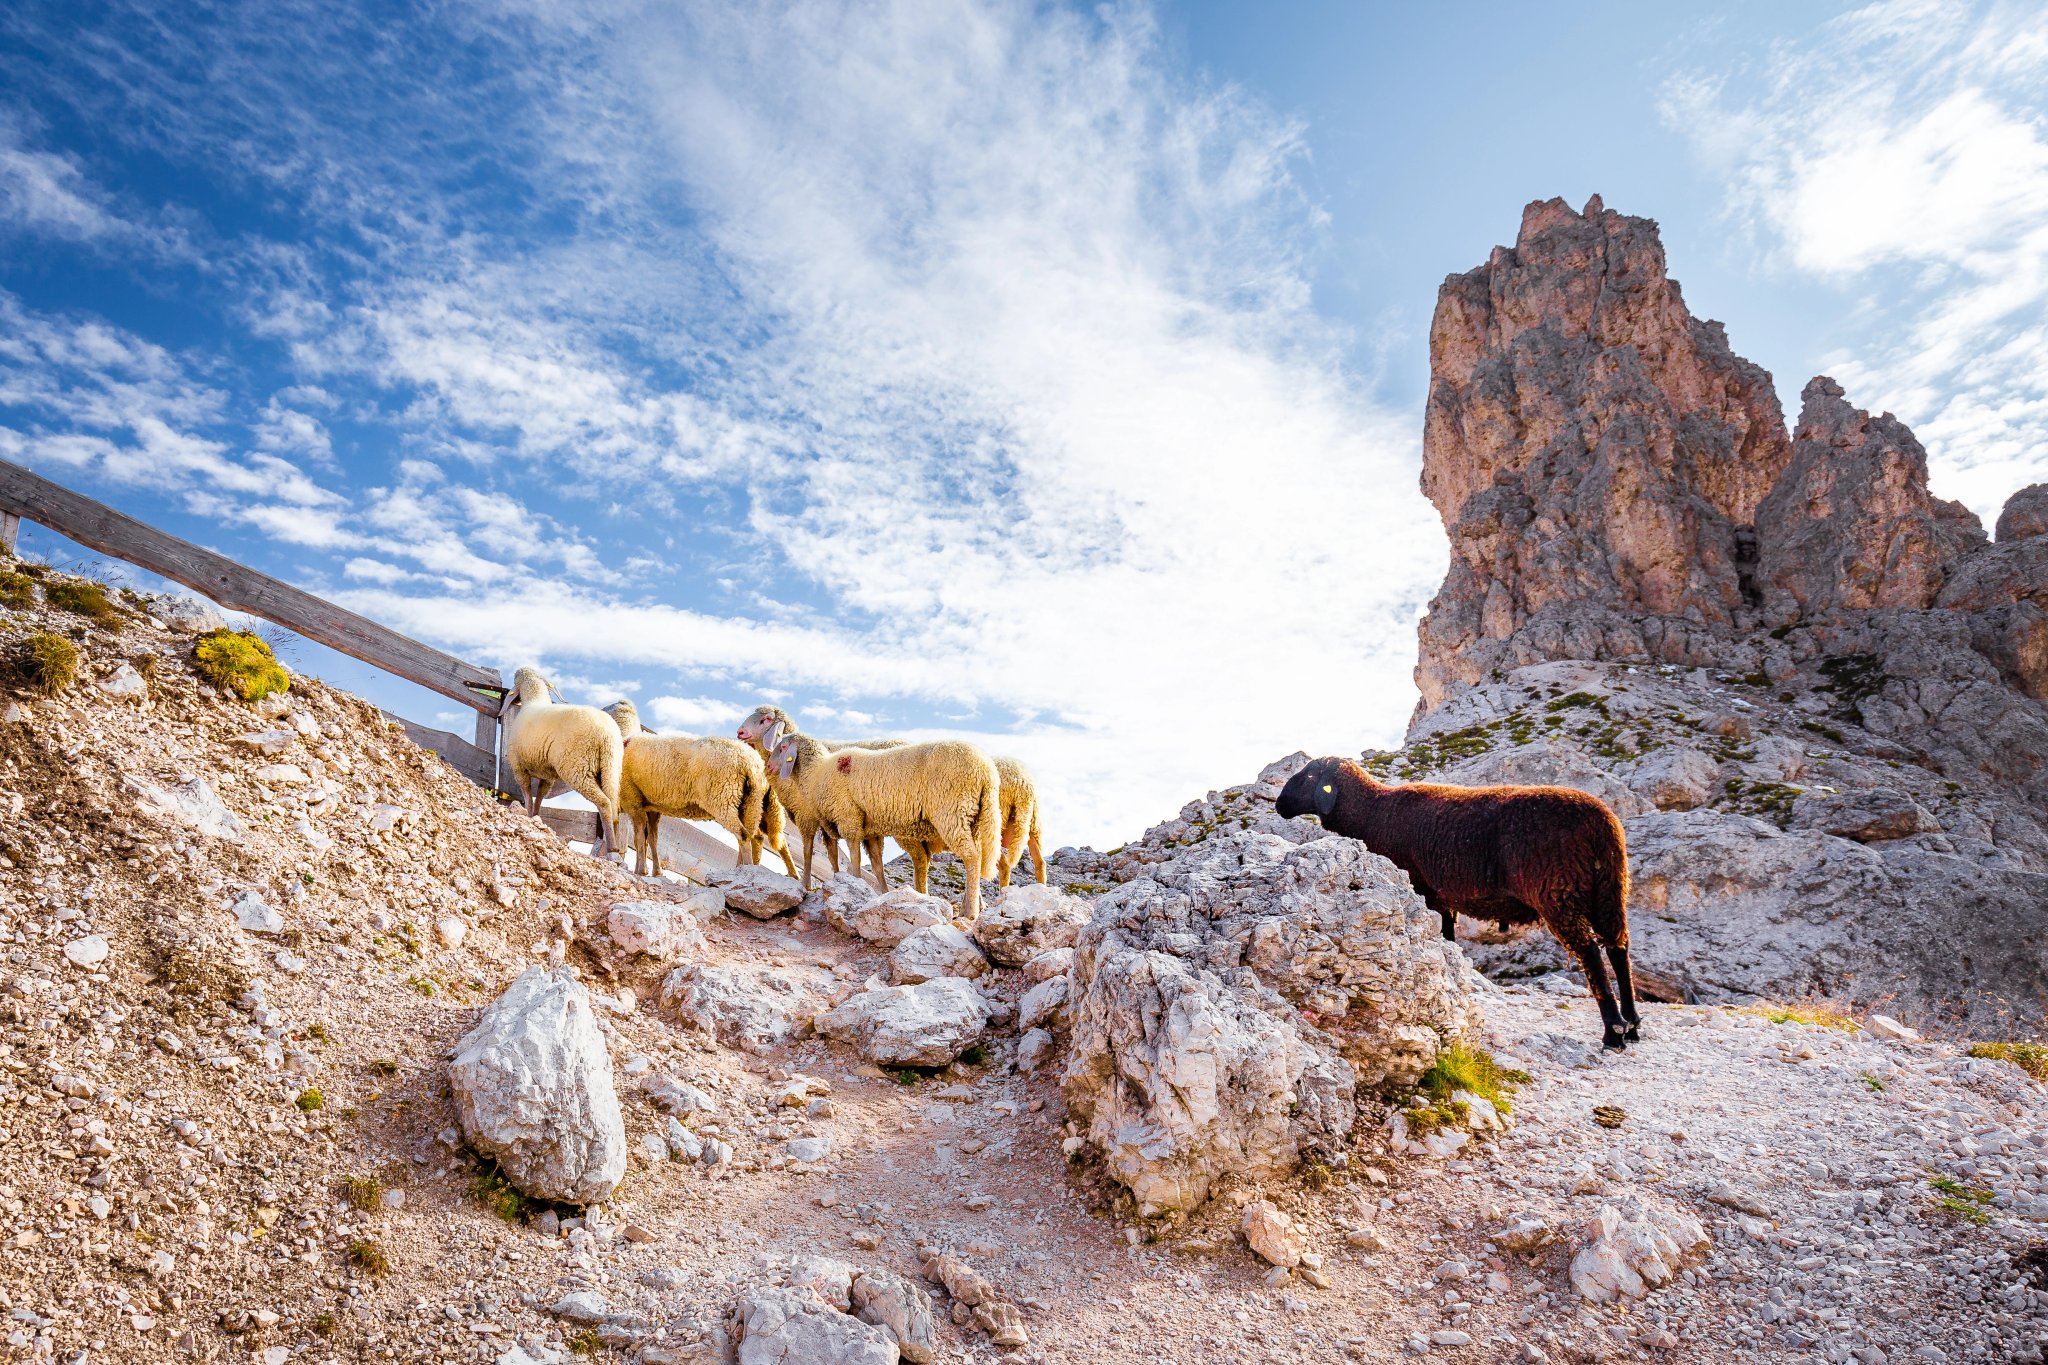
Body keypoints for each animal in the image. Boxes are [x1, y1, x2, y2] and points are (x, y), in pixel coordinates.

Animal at [502, 666, 623, 860]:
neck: (534, 700)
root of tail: (606, 734)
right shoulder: (547, 774)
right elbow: (540, 796)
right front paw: (535, 817)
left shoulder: (518, 765)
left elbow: (527, 793)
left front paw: (528, 814)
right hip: (610, 767)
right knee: (613, 804)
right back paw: (616, 846)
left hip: (577, 767)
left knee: (604, 802)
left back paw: (612, 847)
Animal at [602, 700, 795, 879]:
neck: (626, 738)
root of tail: (751, 762)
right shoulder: (652, 807)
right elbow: (652, 839)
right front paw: (656, 872)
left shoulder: (633, 801)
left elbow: (639, 839)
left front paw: (640, 871)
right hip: (752, 803)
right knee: (755, 838)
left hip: (723, 799)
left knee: (744, 836)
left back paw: (744, 872)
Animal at [1275, 756, 1641, 1051]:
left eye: (1309, 776)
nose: (1279, 804)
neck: (1372, 812)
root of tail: (1601, 825)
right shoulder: (1442, 897)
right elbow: (1448, 938)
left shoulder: (1422, 888)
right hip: (1610, 888)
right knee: (1618, 947)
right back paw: (1634, 1024)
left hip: (1558, 890)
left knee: (1590, 952)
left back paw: (1613, 1031)